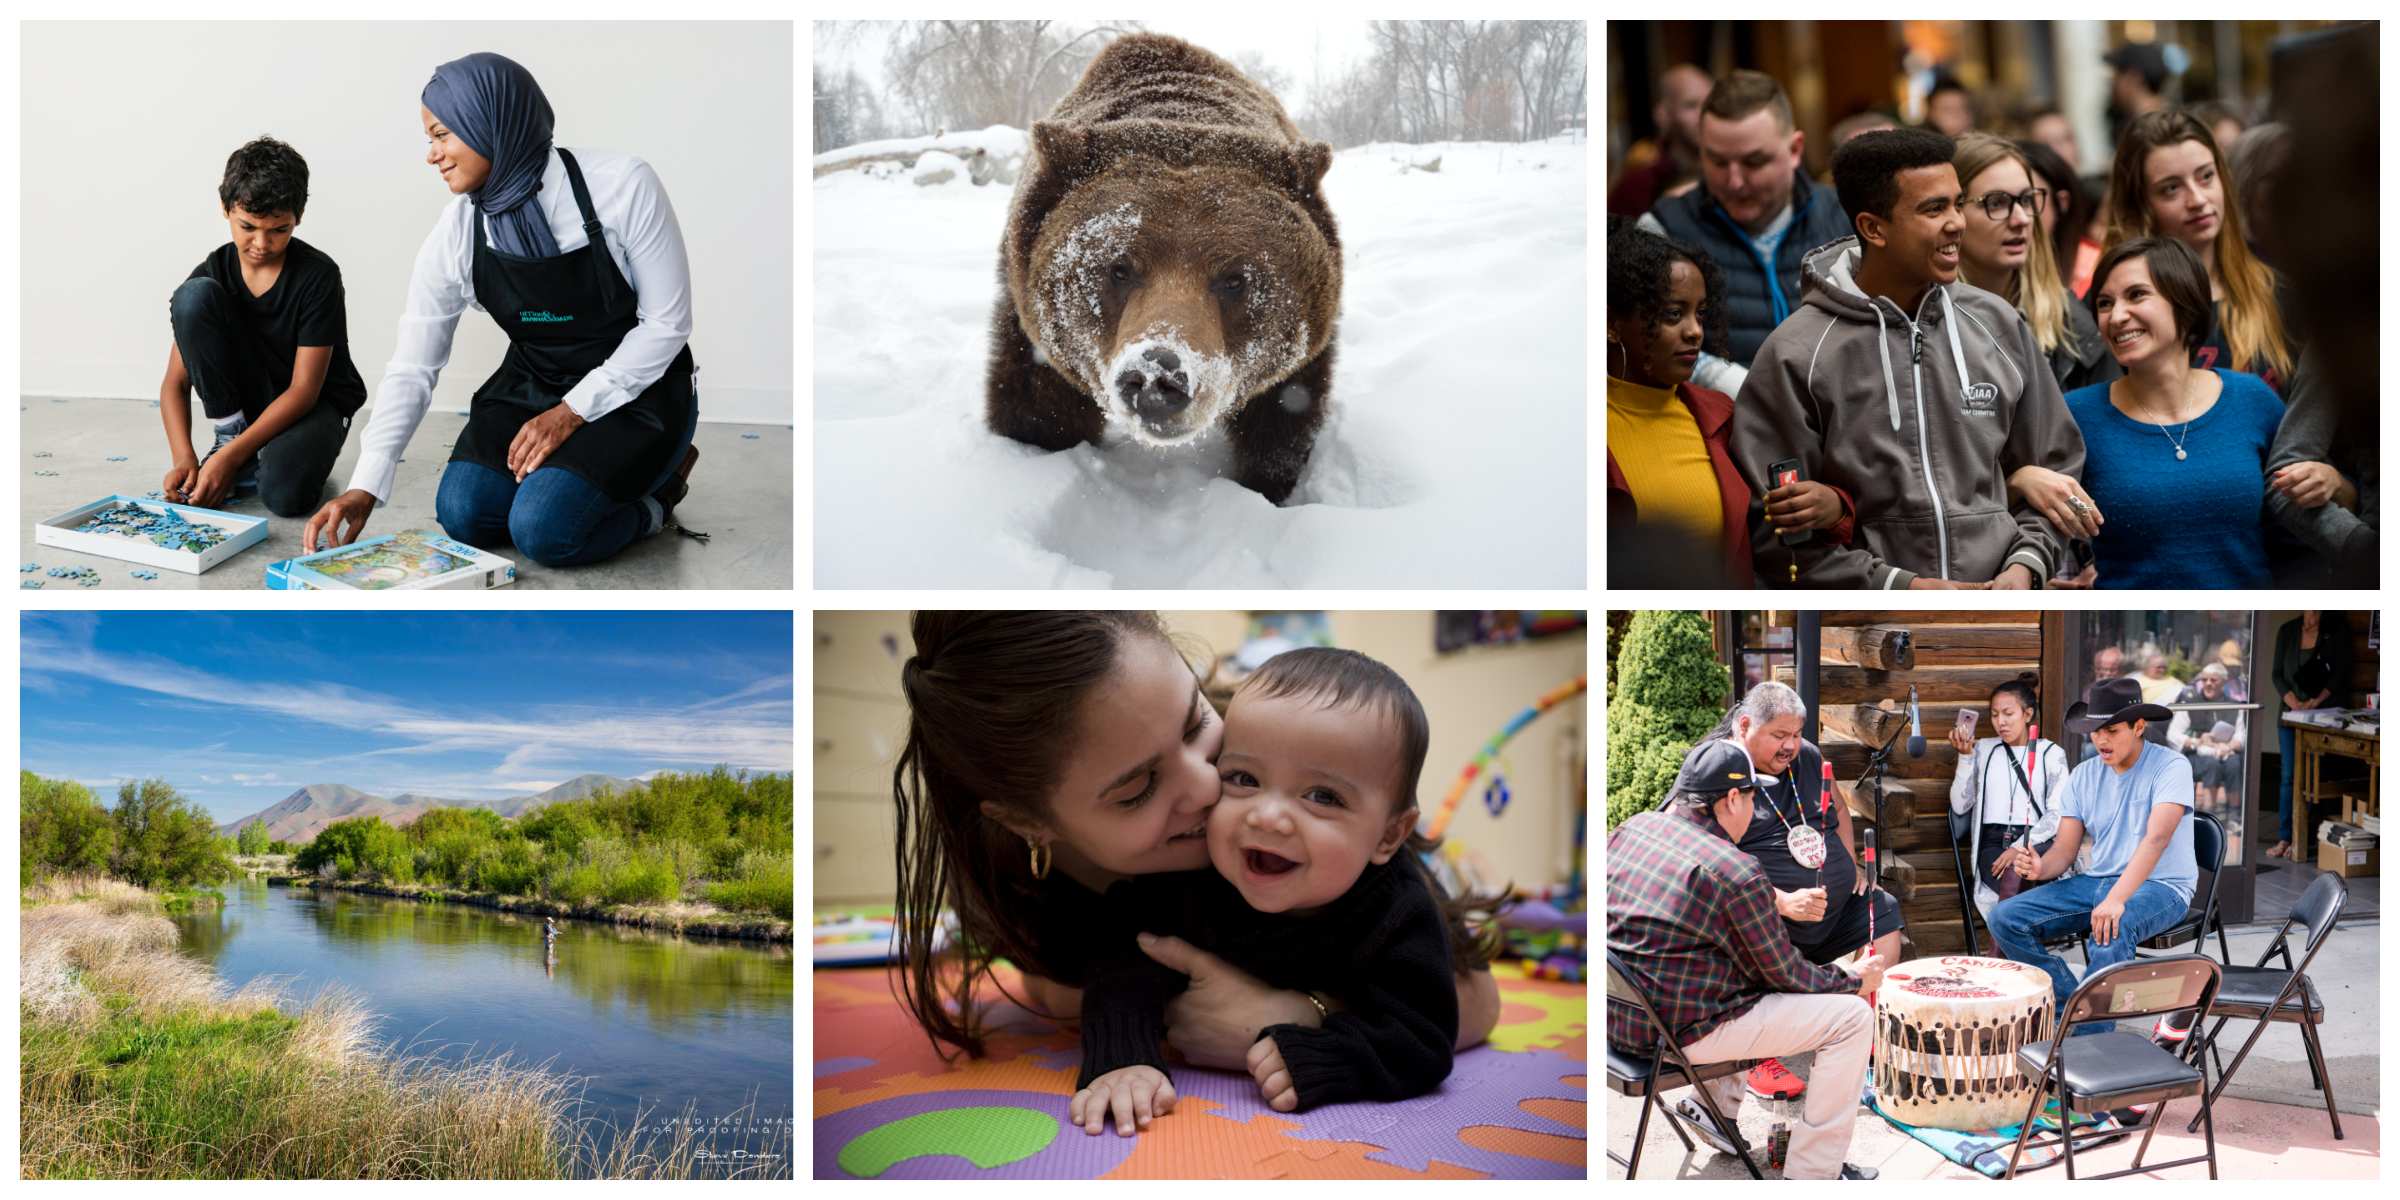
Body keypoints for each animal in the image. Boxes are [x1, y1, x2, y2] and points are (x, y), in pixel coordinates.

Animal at [984, 32, 1344, 501]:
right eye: (1119, 268)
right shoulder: (1029, 326)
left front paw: (1267, 486)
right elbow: (1037, 410)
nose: (1157, 375)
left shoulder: (1301, 357)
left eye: (1234, 279)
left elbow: (1282, 422)